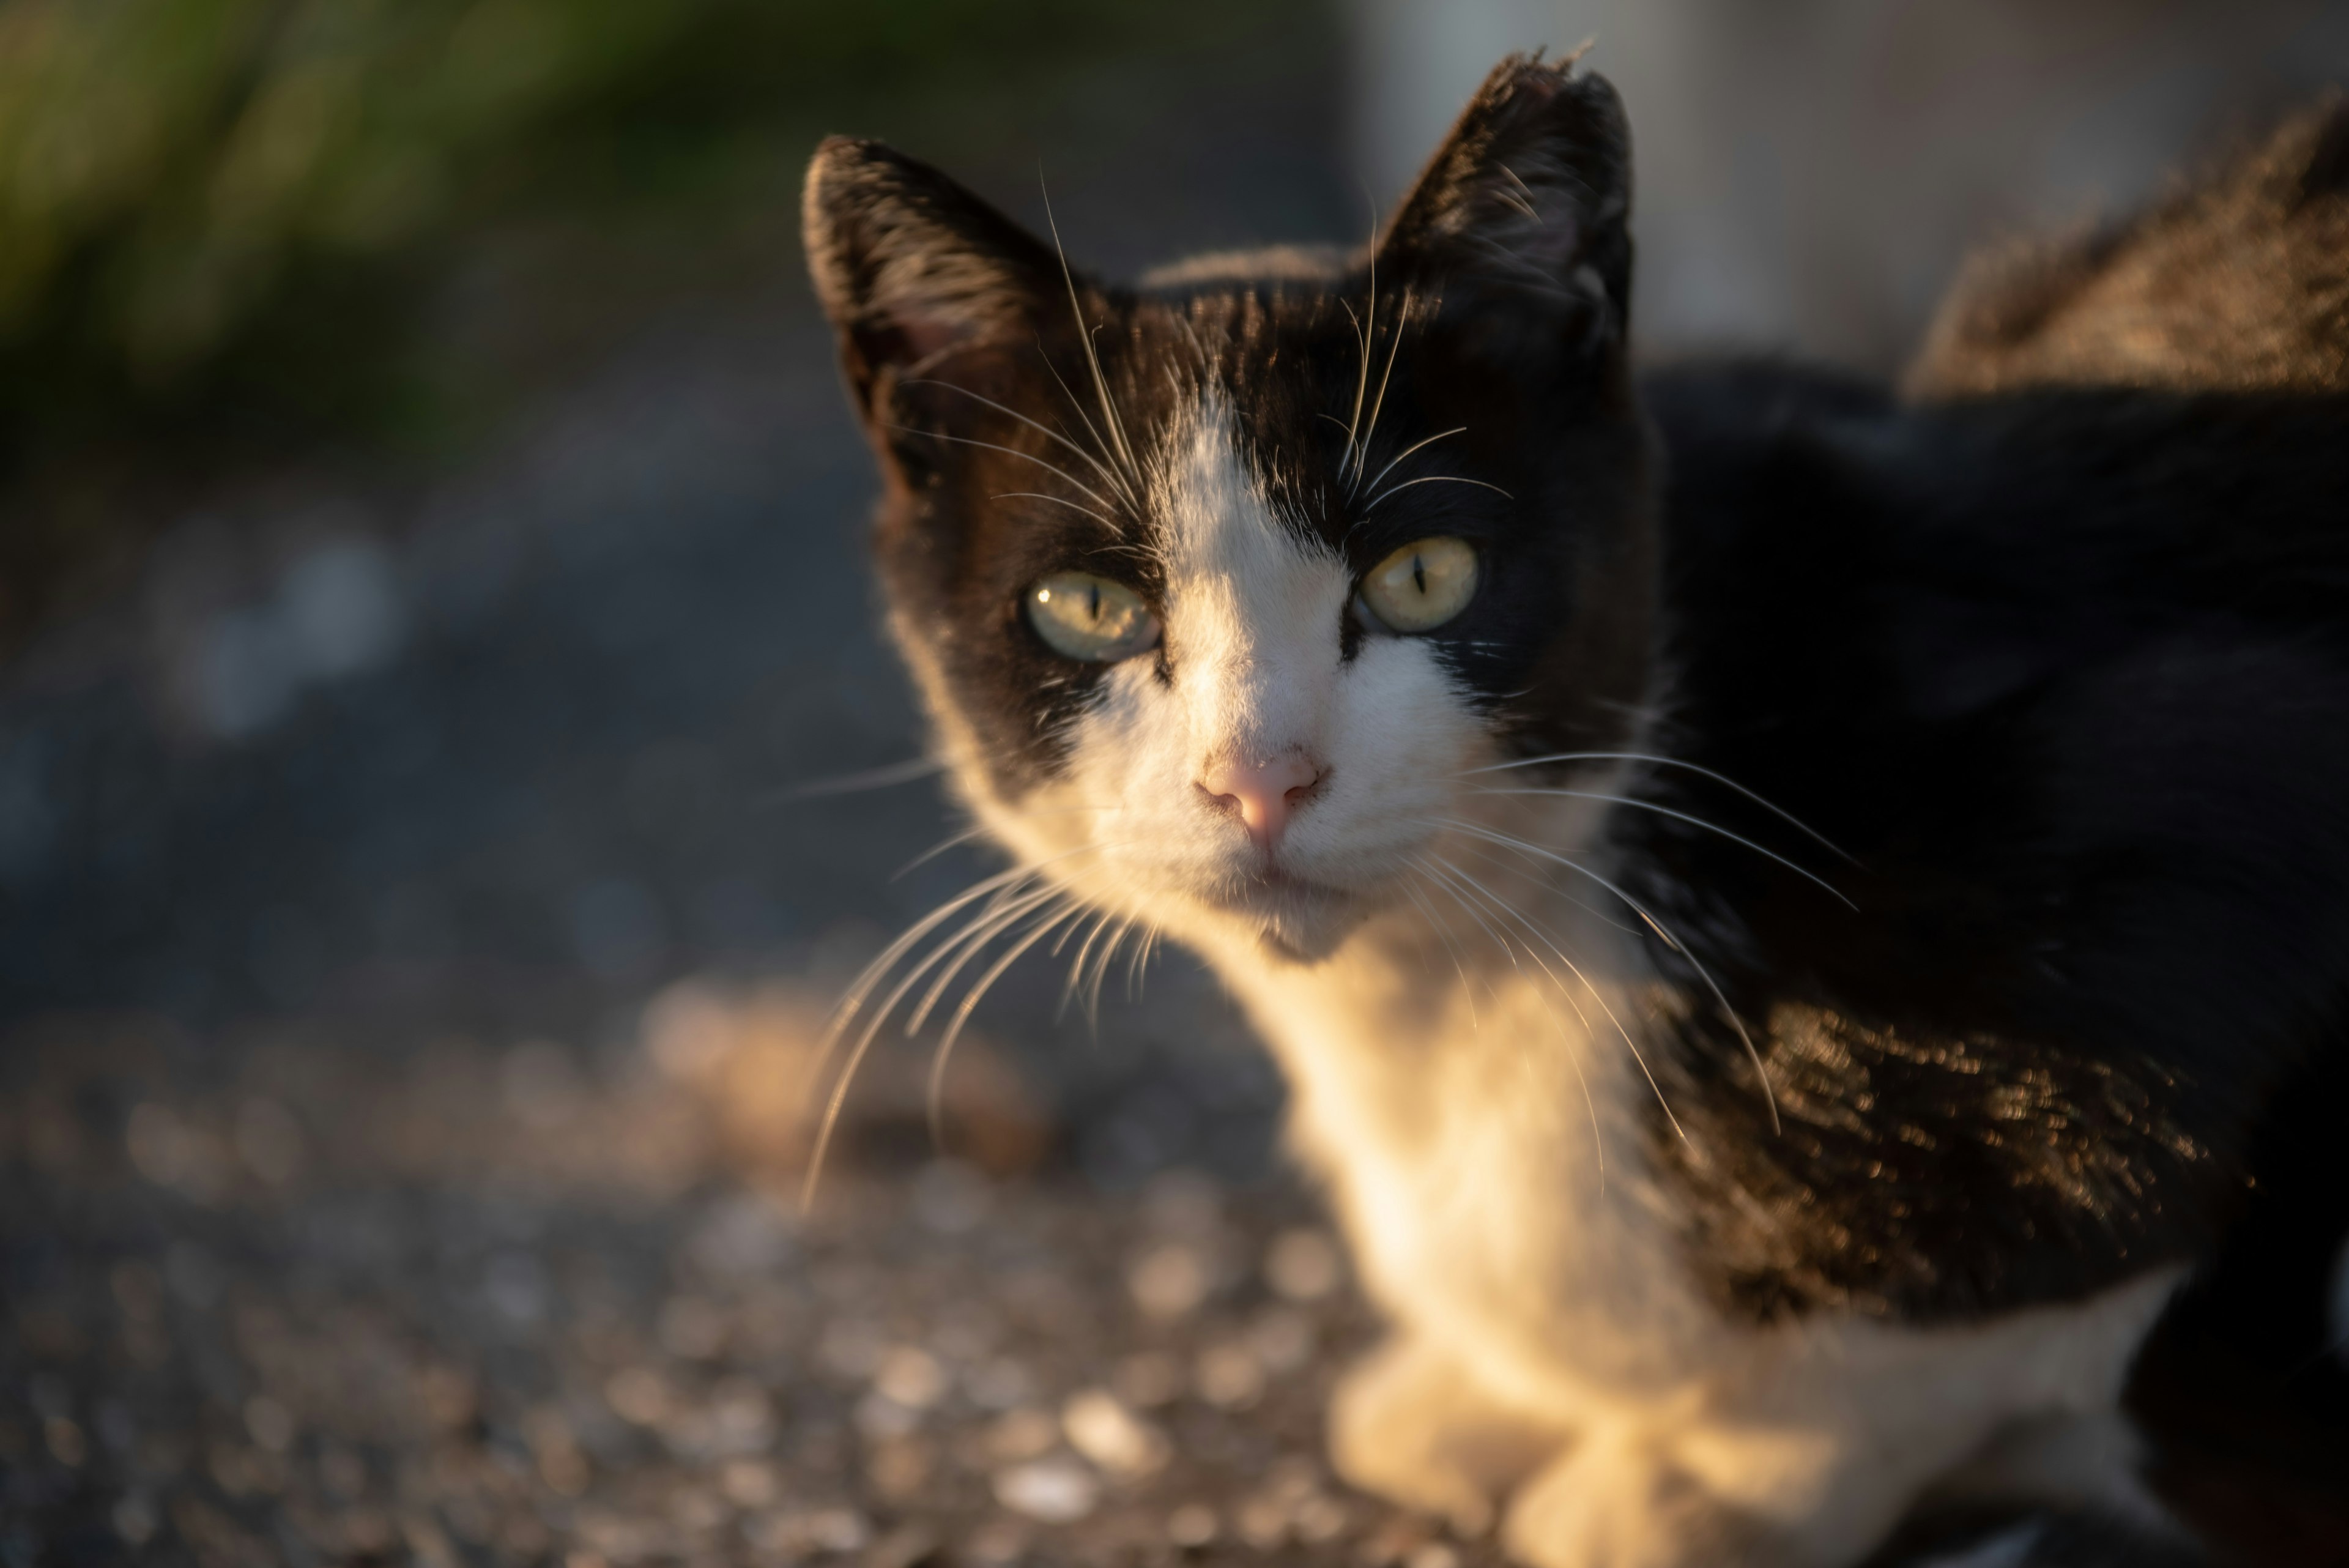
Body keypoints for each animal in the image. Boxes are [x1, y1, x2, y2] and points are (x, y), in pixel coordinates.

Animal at [793, 55, 2349, 1568]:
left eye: (1424, 575)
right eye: (1088, 608)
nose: (1261, 775)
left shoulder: (2209, 799)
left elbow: (1978, 1303)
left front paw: (1695, 1484)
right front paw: (1491, 1402)